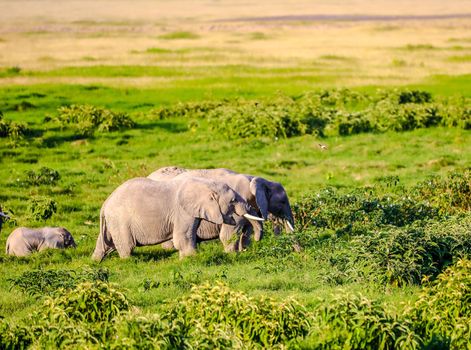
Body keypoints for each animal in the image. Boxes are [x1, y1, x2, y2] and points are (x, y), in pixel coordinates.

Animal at [90, 176, 264, 262]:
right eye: (233, 200)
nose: (257, 240)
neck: (205, 185)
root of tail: (105, 204)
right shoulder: (182, 211)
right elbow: (183, 236)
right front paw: (191, 258)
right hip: (120, 220)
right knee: (127, 246)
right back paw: (128, 261)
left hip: (112, 222)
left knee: (106, 244)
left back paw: (95, 261)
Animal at [148, 166, 296, 249]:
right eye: (283, 201)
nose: (298, 254)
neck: (254, 179)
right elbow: (229, 232)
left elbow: (247, 231)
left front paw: (244, 251)